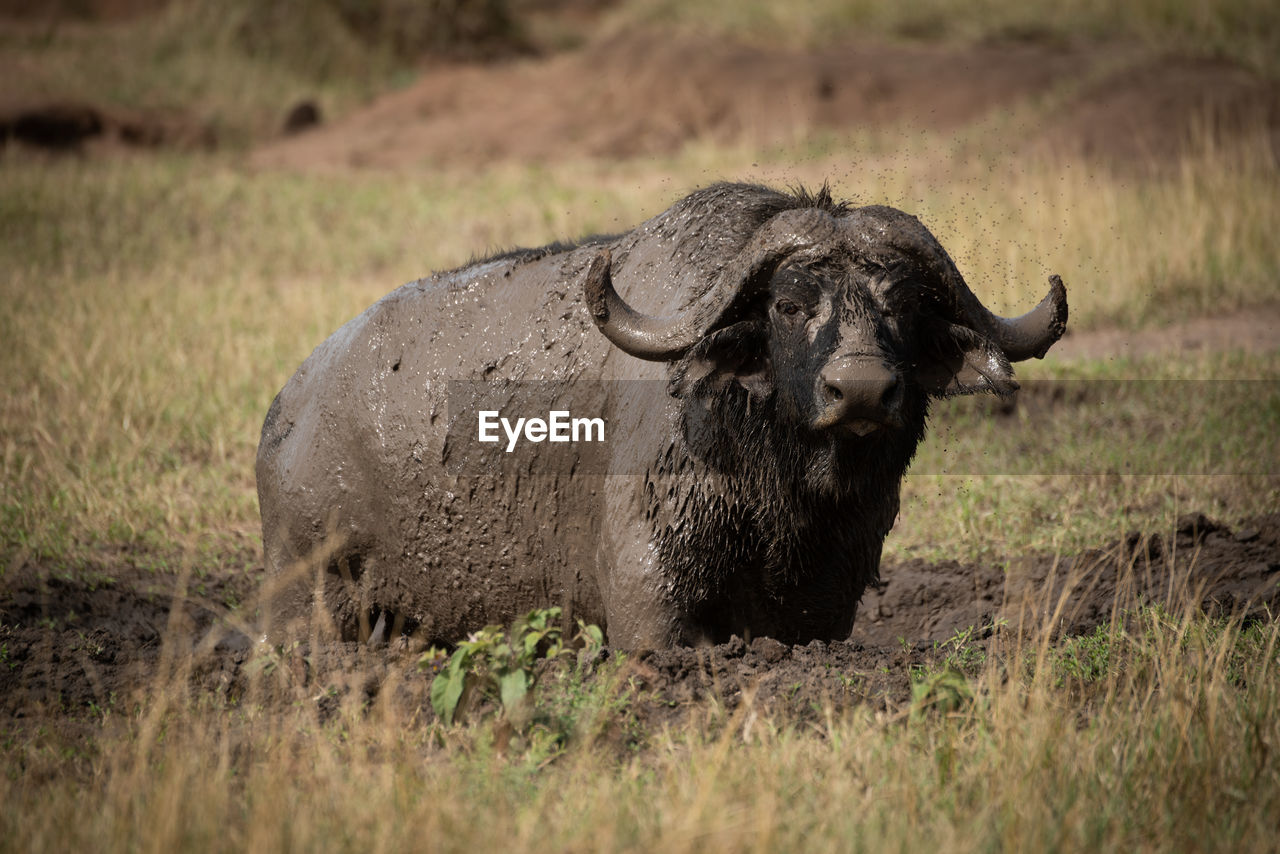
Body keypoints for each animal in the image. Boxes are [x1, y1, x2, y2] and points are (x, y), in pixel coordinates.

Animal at [254, 181, 1064, 647]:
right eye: (789, 304)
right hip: (309, 599)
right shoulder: (650, 606)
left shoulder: (826, 605)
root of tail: (287, 408)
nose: (861, 391)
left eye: (904, 305)